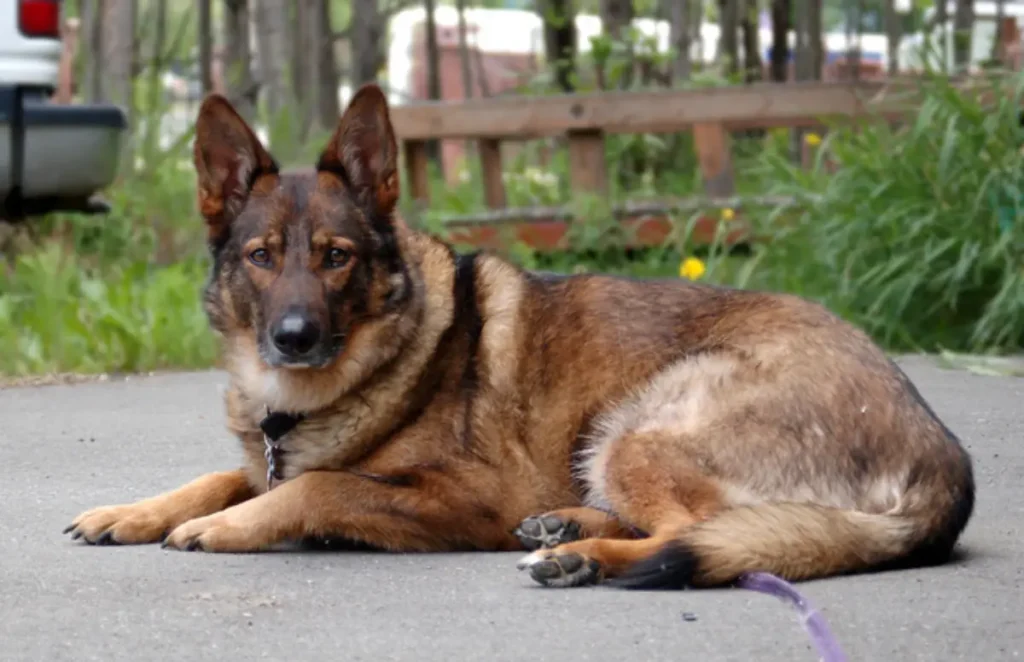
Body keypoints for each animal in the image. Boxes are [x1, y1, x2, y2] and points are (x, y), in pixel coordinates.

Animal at [64, 81, 974, 590]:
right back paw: (567, 528)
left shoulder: (469, 496)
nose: (292, 337)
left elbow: (319, 486)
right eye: (259, 257)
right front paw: (134, 511)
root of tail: (946, 462)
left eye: (335, 256)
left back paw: (582, 557)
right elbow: (228, 475)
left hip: (640, 427)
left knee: (701, 535)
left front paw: (231, 524)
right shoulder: (269, 453)